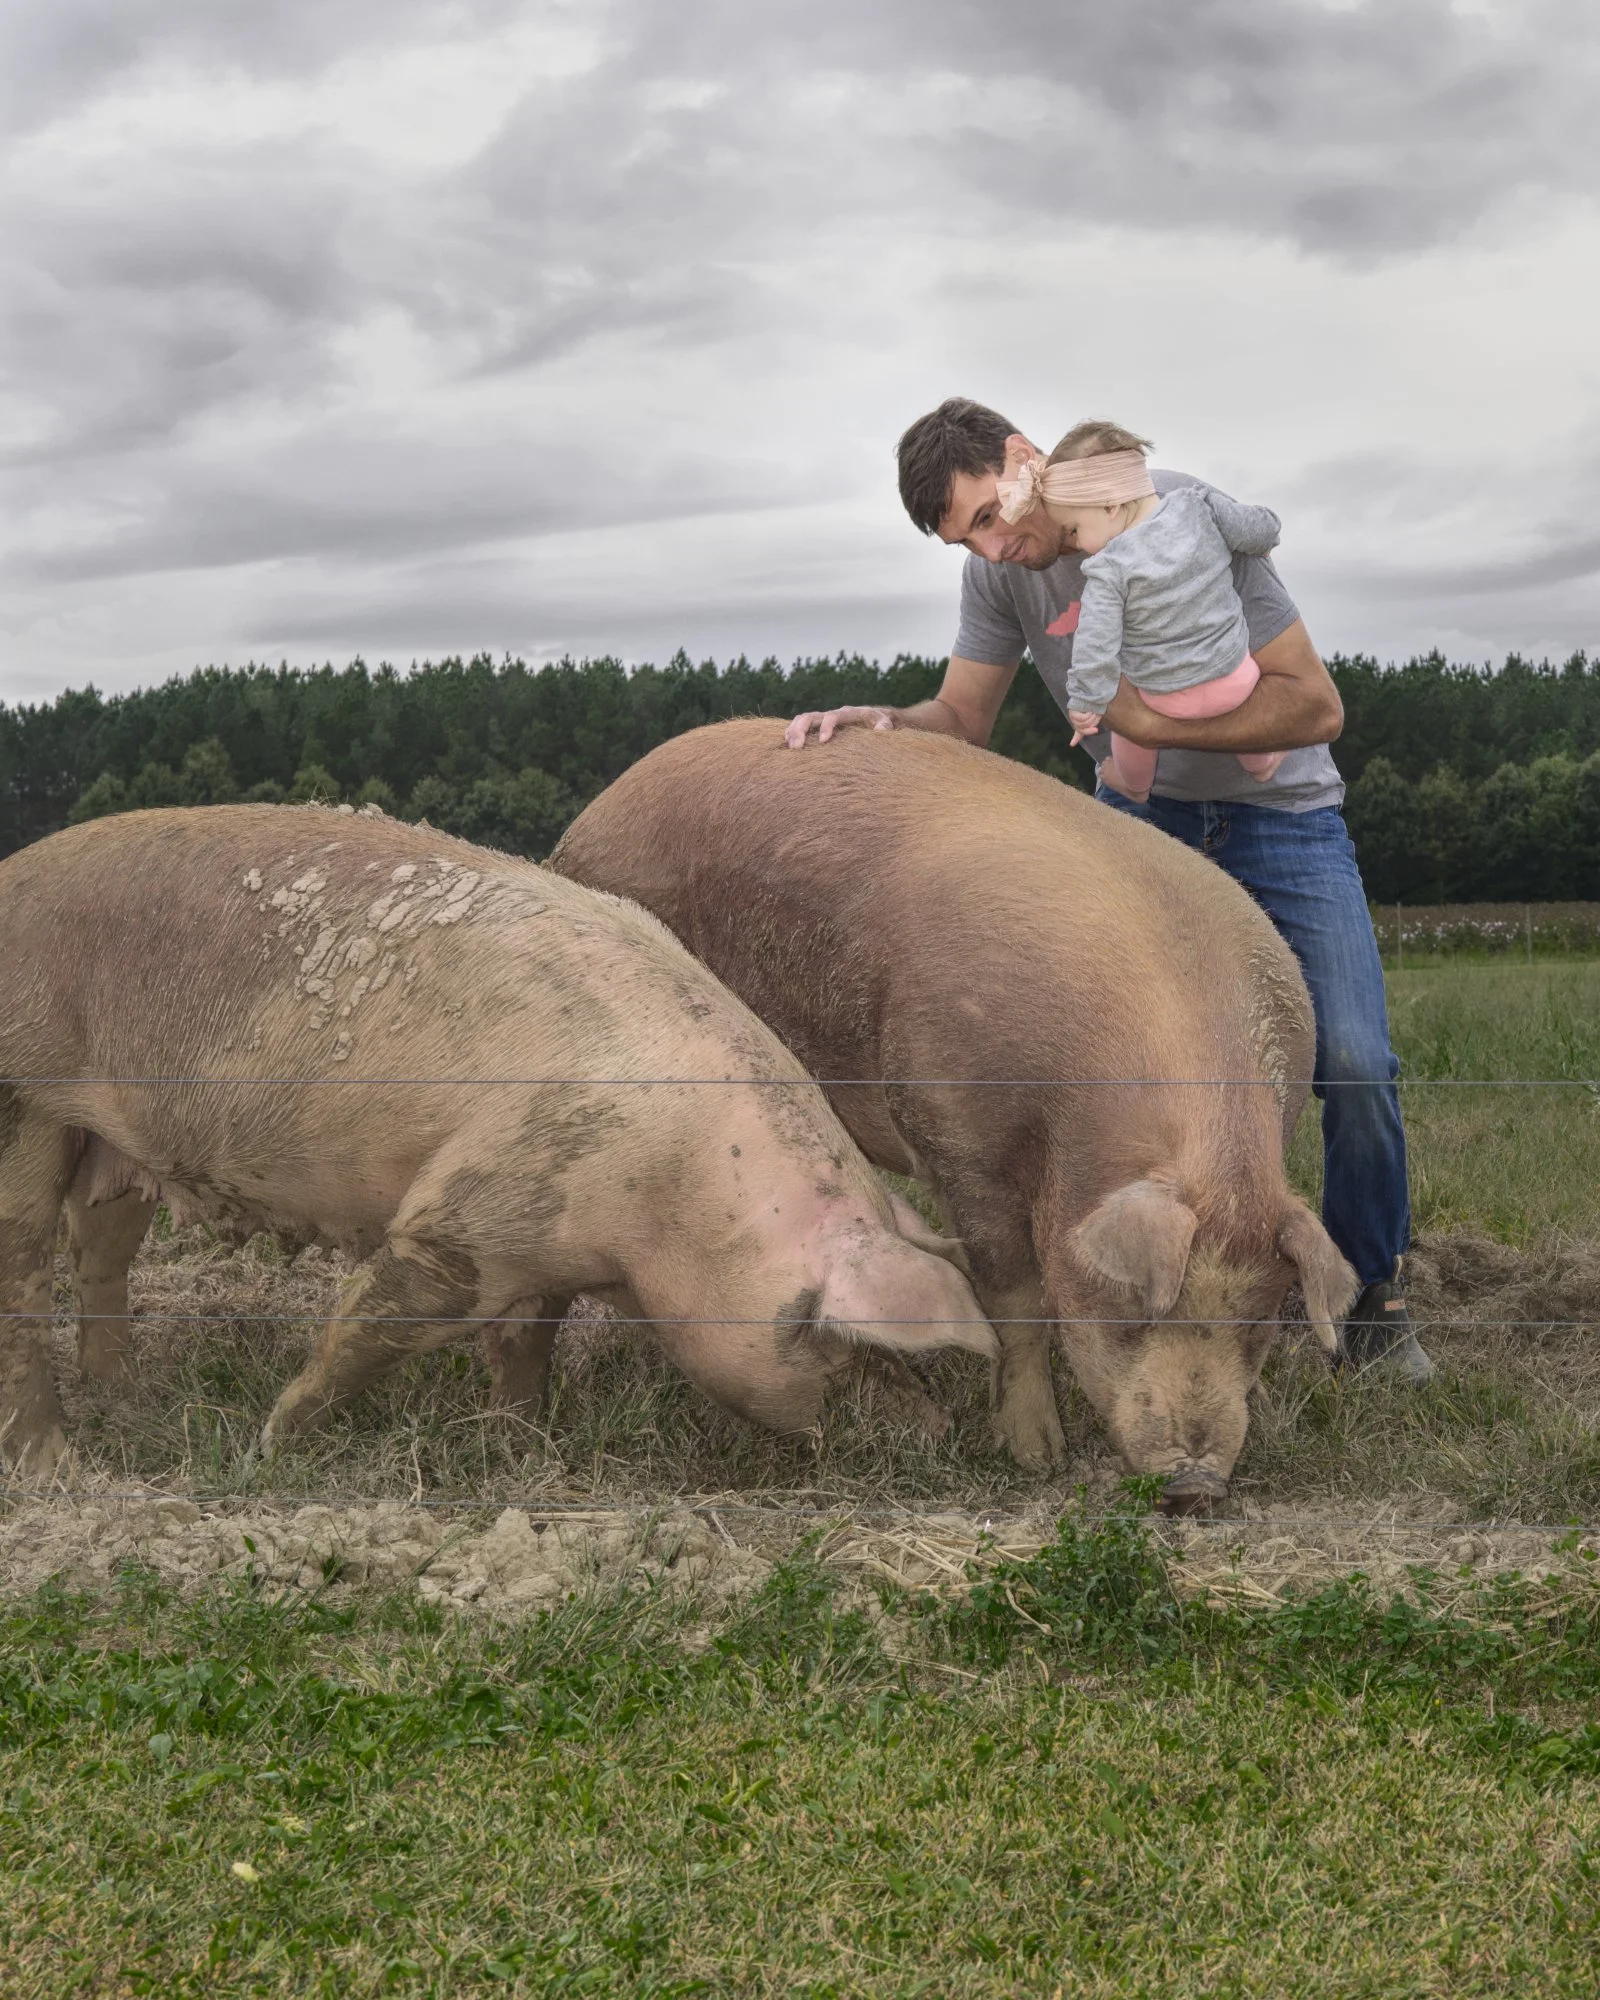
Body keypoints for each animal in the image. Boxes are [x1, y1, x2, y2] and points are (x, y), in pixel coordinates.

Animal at [0, 804, 994, 1474]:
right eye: (848, 1345)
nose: (940, 1433)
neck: (682, 1200)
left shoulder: (545, 1246)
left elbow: (526, 1344)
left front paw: (524, 1444)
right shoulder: (465, 1217)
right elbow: (370, 1326)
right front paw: (276, 1444)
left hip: (111, 1143)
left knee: (101, 1250)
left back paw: (124, 1395)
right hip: (24, 1098)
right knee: (24, 1270)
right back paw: (53, 1464)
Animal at [550, 720, 1358, 1510]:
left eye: (1258, 1322)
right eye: (1133, 1311)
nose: (1197, 1486)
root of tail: (595, 812)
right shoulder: (957, 1131)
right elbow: (1015, 1297)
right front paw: (1035, 1456)